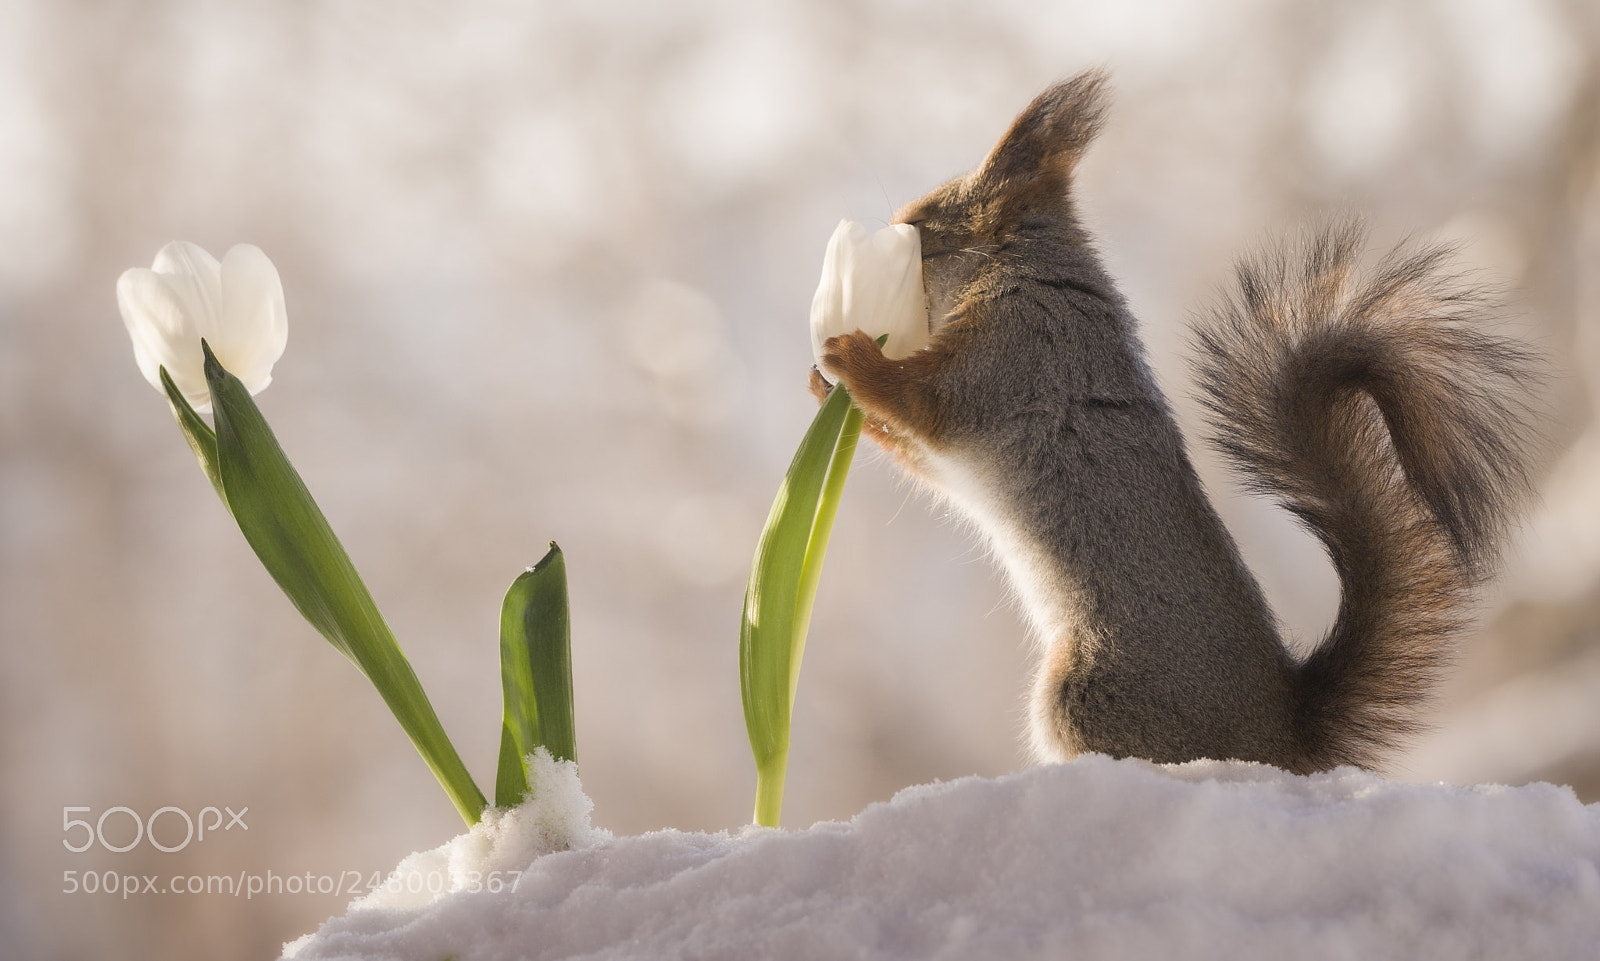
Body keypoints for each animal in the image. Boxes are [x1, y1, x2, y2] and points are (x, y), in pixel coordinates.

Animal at [811, 72, 1542, 774]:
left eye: (922, 231)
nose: (894, 228)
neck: (1027, 275)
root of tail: (1282, 734)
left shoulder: (1012, 357)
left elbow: (926, 403)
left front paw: (850, 356)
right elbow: (919, 451)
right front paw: (826, 391)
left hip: (1087, 694)